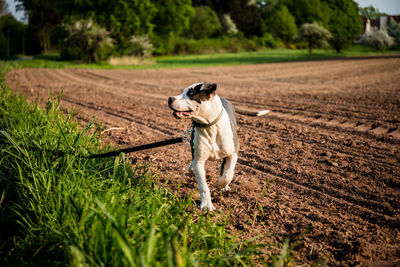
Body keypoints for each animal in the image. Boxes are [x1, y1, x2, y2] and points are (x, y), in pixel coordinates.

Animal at [167, 81, 270, 211]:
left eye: (190, 93)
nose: (170, 99)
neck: (209, 126)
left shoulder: (233, 153)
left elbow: (228, 174)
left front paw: (220, 184)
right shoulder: (199, 161)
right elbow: (203, 186)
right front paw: (207, 205)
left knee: (224, 169)